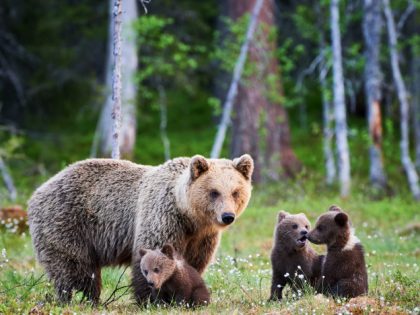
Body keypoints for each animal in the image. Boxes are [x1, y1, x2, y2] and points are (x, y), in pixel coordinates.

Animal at [28, 154, 253, 304]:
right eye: (214, 192)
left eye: (235, 192)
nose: (227, 216)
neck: (189, 216)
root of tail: (39, 190)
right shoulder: (163, 217)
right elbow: (151, 255)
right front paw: (153, 300)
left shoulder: (202, 237)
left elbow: (193, 263)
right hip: (67, 222)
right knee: (75, 267)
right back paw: (82, 298)